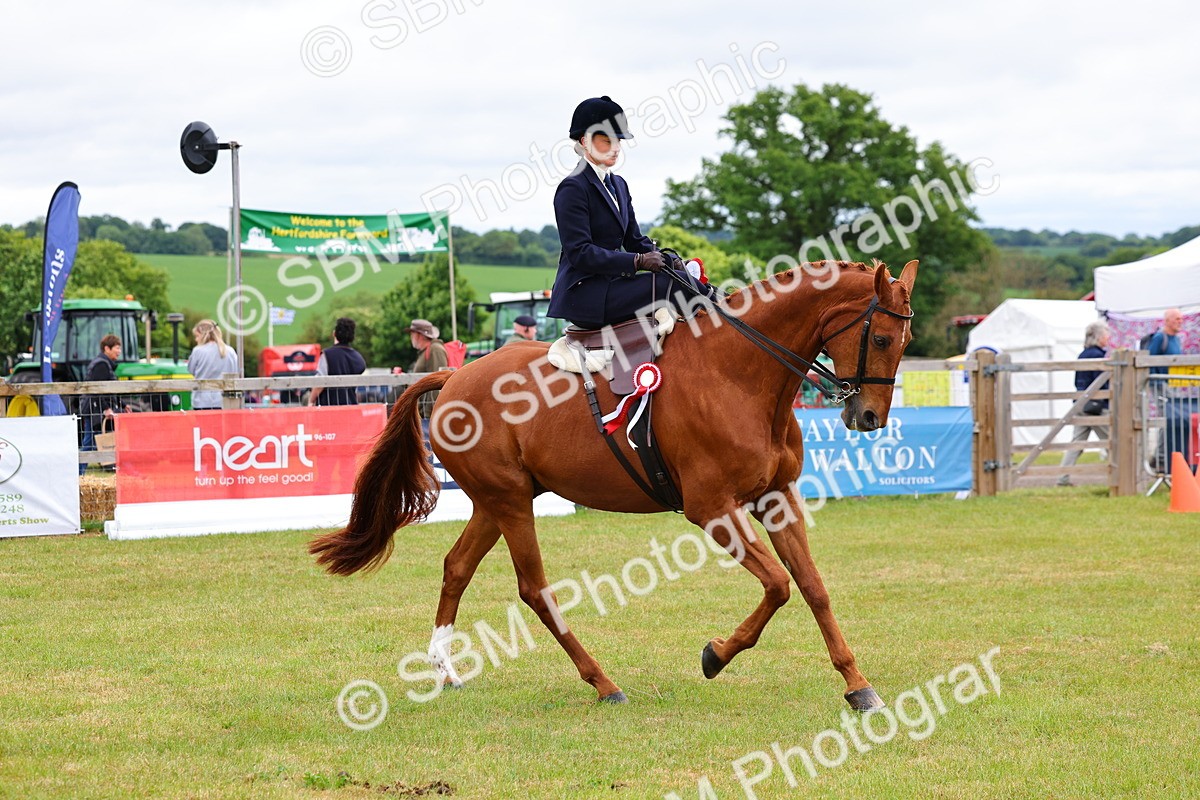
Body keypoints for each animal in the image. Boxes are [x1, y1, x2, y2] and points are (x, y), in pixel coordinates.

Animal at [311, 259, 918, 710]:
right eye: (883, 339)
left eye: (904, 340)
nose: (869, 417)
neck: (741, 373)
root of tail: (455, 374)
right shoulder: (711, 509)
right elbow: (777, 585)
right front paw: (716, 655)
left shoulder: (778, 498)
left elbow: (812, 587)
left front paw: (858, 686)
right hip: (509, 502)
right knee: (535, 589)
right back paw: (602, 683)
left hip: (496, 501)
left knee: (457, 567)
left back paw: (445, 670)